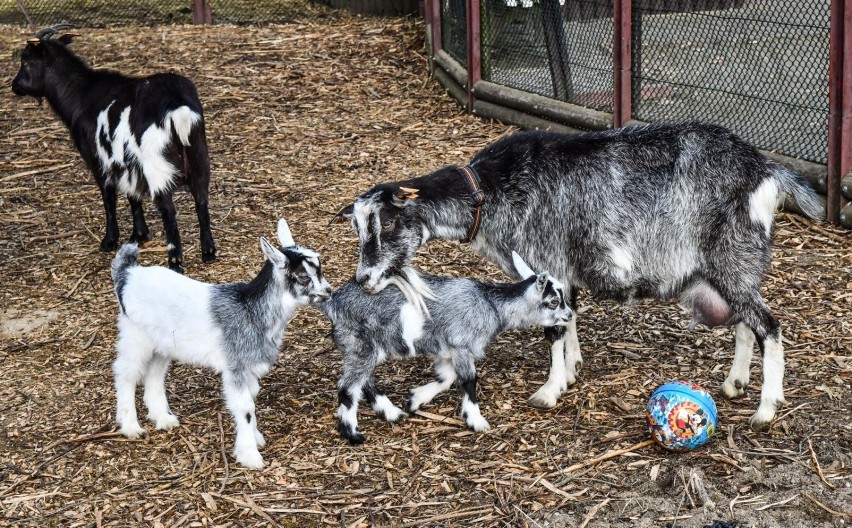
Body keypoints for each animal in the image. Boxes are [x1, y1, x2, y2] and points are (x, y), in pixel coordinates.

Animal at [11, 25, 215, 272]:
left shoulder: (100, 159)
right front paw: (139, 235)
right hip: (199, 157)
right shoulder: (125, 160)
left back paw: (174, 261)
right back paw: (208, 251)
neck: (82, 95)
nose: (14, 86)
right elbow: (133, 195)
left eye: (26, 60)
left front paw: (110, 240)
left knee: (168, 209)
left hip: (156, 163)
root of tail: (179, 107)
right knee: (201, 199)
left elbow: (109, 197)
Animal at [110, 219, 330, 466]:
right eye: (302, 276)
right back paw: (131, 427)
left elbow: (252, 398)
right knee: (126, 374)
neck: (250, 310)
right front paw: (250, 455)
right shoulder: (235, 366)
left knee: (154, 375)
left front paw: (256, 438)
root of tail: (128, 273)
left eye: (319, 269)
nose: (328, 291)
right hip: (135, 335)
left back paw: (163, 419)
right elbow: (245, 406)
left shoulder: (248, 367)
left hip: (162, 344)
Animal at [320, 254, 572, 444]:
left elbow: (446, 378)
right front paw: (476, 421)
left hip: (366, 348)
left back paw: (392, 413)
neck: (491, 305)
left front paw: (414, 400)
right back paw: (353, 434)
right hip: (359, 344)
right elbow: (469, 380)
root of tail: (333, 303)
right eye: (553, 302)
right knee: (348, 387)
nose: (569, 315)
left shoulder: (446, 349)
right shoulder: (461, 345)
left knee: (365, 381)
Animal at [334, 122, 824, 428]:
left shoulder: (546, 260)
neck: (489, 192)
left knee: (769, 325)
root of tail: (765, 171)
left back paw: (765, 409)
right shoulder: (562, 274)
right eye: (358, 227)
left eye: (387, 224)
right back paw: (735, 383)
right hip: (728, 269)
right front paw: (571, 372)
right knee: (745, 321)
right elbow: (567, 318)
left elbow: (553, 329)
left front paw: (549, 390)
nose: (364, 280)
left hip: (732, 256)